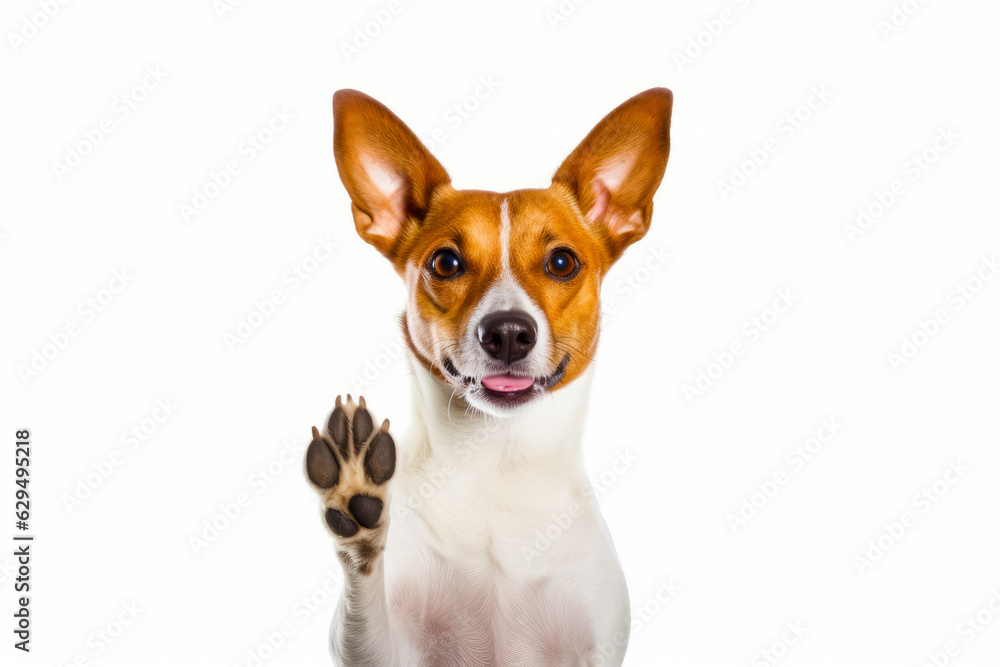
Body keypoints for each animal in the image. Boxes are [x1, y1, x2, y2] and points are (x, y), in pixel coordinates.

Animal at [304, 88, 676, 667]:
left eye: (562, 262)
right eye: (447, 262)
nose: (507, 333)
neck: (497, 462)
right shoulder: (383, 652)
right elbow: (365, 609)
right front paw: (355, 503)